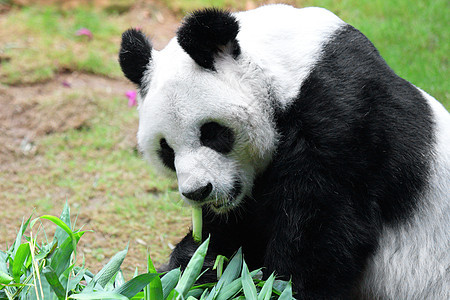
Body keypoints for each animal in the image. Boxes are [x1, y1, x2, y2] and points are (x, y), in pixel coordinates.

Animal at [118, 3, 448, 298]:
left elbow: (323, 230)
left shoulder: (346, 119)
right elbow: (237, 231)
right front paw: (191, 266)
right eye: (166, 150)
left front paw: (277, 287)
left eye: (212, 133)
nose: (198, 192)